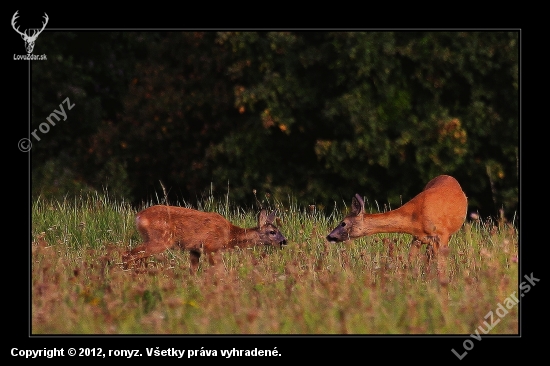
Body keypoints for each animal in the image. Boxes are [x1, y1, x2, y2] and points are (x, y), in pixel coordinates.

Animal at [123, 204, 288, 274]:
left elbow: (193, 270)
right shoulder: (212, 246)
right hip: (160, 240)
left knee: (138, 257)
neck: (229, 235)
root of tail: (139, 217)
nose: (284, 241)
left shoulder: (195, 249)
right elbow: (220, 269)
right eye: (272, 232)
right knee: (129, 254)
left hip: (150, 238)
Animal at [328, 175, 470, 274]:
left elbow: (441, 267)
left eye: (343, 223)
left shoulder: (442, 234)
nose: (329, 236)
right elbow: (409, 262)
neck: (416, 217)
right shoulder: (417, 237)